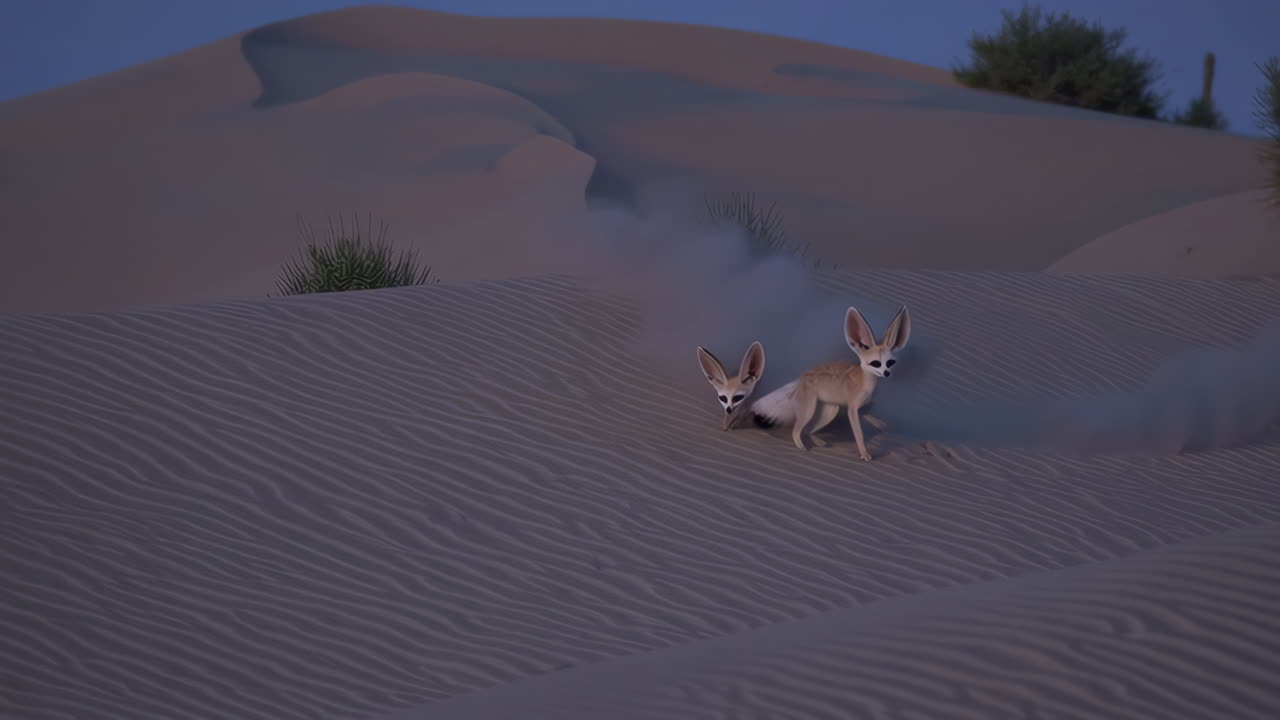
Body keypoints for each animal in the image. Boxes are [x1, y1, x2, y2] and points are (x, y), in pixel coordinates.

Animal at [751, 305, 911, 461]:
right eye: (876, 363)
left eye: (890, 363)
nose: (887, 373)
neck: (867, 382)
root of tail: (801, 378)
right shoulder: (852, 408)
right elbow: (859, 434)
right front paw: (864, 454)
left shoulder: (861, 405)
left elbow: (868, 414)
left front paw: (879, 424)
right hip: (810, 411)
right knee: (796, 431)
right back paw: (802, 449)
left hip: (830, 411)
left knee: (808, 431)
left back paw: (818, 442)